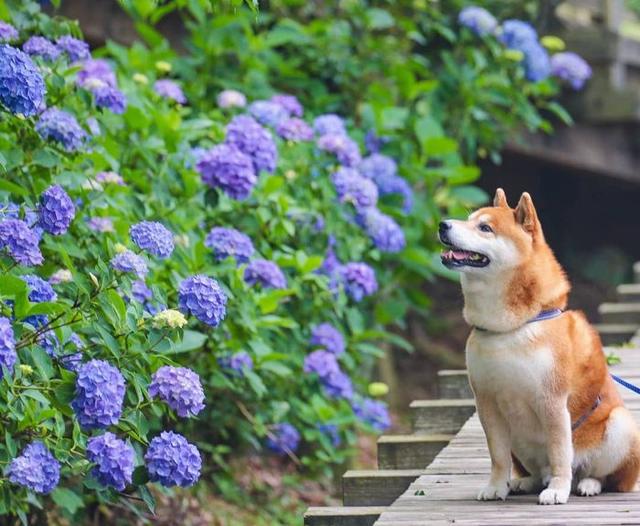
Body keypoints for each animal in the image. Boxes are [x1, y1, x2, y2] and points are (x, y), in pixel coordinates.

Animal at [438, 190, 640, 508]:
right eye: (468, 220)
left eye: (485, 228)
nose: (442, 224)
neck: (509, 330)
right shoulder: (487, 404)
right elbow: (497, 457)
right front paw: (496, 486)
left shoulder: (552, 401)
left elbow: (559, 454)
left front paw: (557, 490)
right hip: (519, 443)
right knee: (532, 469)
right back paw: (525, 482)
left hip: (618, 427)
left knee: (603, 476)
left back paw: (587, 484)